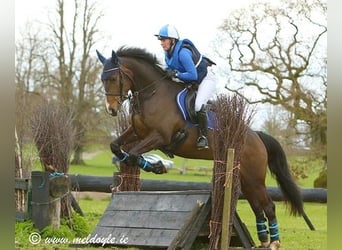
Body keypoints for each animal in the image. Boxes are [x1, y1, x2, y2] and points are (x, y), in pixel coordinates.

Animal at [97, 47, 306, 250]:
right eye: (102, 79)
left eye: (113, 79)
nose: (111, 110)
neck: (152, 93)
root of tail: (256, 135)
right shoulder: (138, 133)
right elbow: (115, 147)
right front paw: (148, 164)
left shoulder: (160, 136)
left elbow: (133, 154)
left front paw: (157, 167)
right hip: (245, 178)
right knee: (257, 206)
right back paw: (263, 242)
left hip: (254, 177)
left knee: (268, 205)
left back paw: (274, 242)